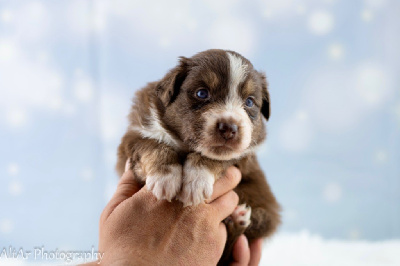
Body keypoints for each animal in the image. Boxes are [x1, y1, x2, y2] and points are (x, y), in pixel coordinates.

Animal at [115, 48, 280, 264]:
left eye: (250, 102)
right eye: (202, 93)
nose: (229, 128)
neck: (184, 145)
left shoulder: (243, 155)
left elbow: (216, 156)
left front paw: (196, 183)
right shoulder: (133, 136)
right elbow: (152, 145)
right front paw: (164, 177)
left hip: (264, 216)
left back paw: (237, 219)